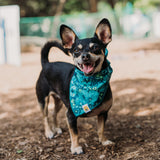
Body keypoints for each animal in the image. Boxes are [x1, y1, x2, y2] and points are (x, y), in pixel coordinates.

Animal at [35, 18, 114, 154]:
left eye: (96, 48)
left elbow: (101, 129)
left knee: (53, 113)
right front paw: (76, 148)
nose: (85, 56)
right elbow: (75, 134)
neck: (90, 82)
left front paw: (103, 141)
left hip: (59, 101)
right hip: (43, 100)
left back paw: (56, 128)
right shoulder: (71, 115)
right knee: (45, 117)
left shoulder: (103, 113)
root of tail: (46, 64)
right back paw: (49, 132)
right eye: (76, 51)